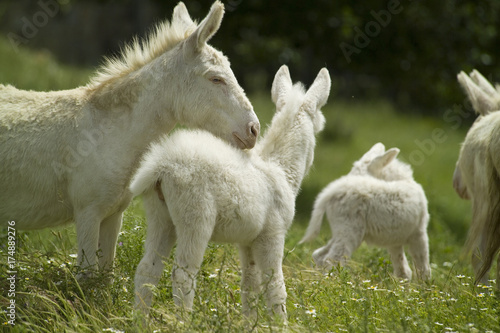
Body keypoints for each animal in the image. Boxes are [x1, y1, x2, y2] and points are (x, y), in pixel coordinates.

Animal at [131, 65, 330, 320]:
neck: (281, 169)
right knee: (183, 275)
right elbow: (275, 287)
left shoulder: (248, 241)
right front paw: (281, 323)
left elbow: (249, 286)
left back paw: (139, 321)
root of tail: (160, 167)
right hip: (195, 216)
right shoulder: (272, 234)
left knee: (148, 268)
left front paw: (250, 322)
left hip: (160, 215)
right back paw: (184, 322)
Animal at [298, 143, 432, 280]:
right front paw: (425, 284)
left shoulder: (394, 239)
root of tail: (329, 194)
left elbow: (401, 265)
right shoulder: (419, 232)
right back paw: (336, 282)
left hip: (341, 230)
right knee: (333, 258)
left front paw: (402, 283)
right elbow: (422, 263)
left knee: (319, 254)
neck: (401, 180)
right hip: (350, 229)